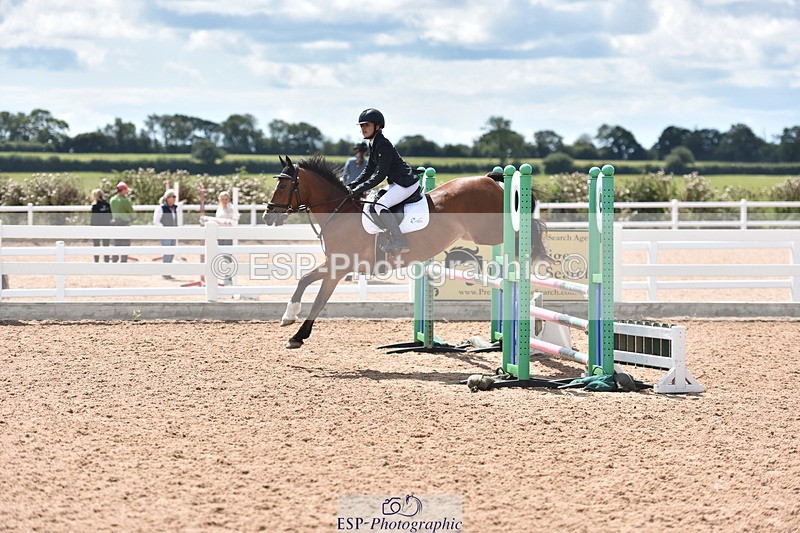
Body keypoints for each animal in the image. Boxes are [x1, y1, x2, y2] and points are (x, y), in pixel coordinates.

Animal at [262, 155, 547, 349]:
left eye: (284, 186)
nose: (267, 216)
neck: (339, 213)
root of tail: (489, 180)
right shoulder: (335, 265)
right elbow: (308, 285)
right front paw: (291, 322)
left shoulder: (338, 266)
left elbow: (315, 294)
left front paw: (295, 331)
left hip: (489, 232)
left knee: (525, 230)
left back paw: (535, 255)